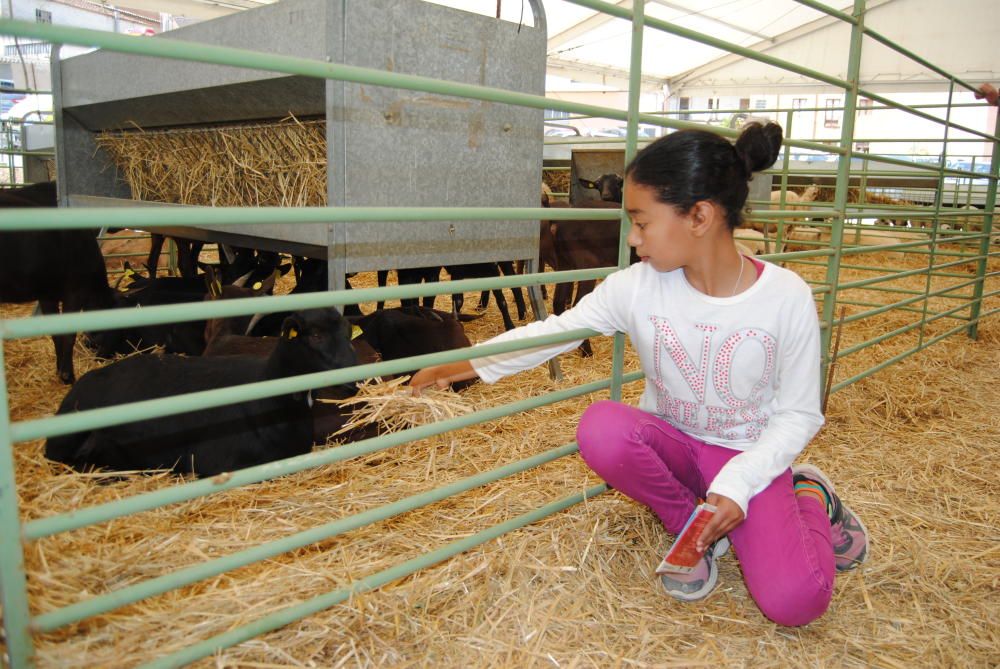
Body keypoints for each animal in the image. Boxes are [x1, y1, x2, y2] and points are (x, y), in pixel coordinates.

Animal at [0, 181, 116, 380]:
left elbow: (56, 333)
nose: (104, 354)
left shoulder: (47, 295)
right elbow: (68, 333)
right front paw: (68, 374)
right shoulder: (75, 292)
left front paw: (60, 369)